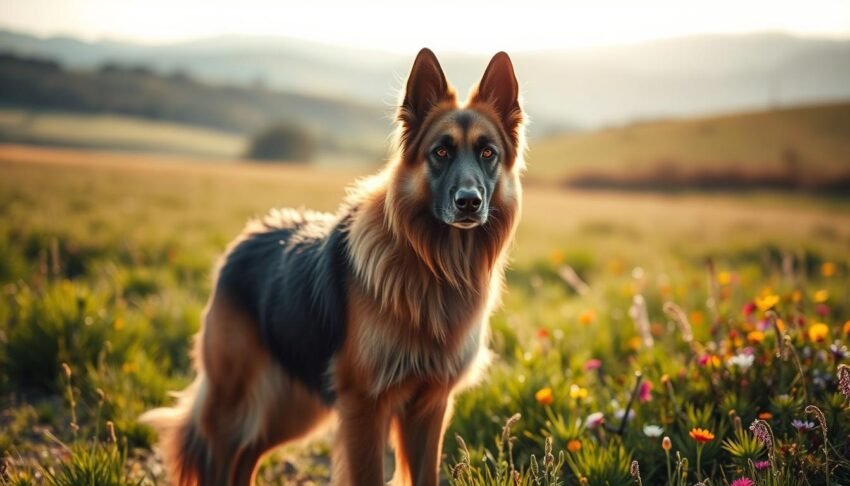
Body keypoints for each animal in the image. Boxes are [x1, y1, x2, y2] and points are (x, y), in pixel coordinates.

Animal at [140, 47, 524, 484]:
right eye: (440, 152)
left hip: (293, 408)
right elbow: (369, 473)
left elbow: (425, 473)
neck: (433, 266)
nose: (469, 202)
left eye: (488, 153)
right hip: (232, 404)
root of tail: (247, 238)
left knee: (248, 454)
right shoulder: (365, 405)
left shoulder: (431, 405)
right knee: (220, 459)